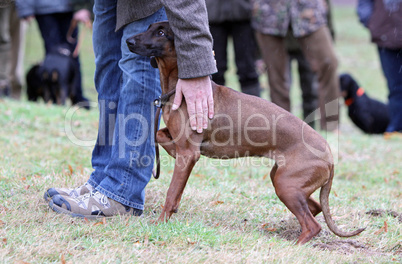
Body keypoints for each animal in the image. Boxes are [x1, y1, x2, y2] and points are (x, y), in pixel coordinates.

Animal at [126, 21, 364, 244]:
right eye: (149, 27)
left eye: (161, 32)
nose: (128, 41)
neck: (179, 89)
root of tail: (329, 156)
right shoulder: (180, 142)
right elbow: (159, 135)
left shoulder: (188, 153)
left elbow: (172, 193)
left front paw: (161, 223)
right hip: (283, 180)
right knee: (314, 209)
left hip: (286, 185)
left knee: (313, 225)